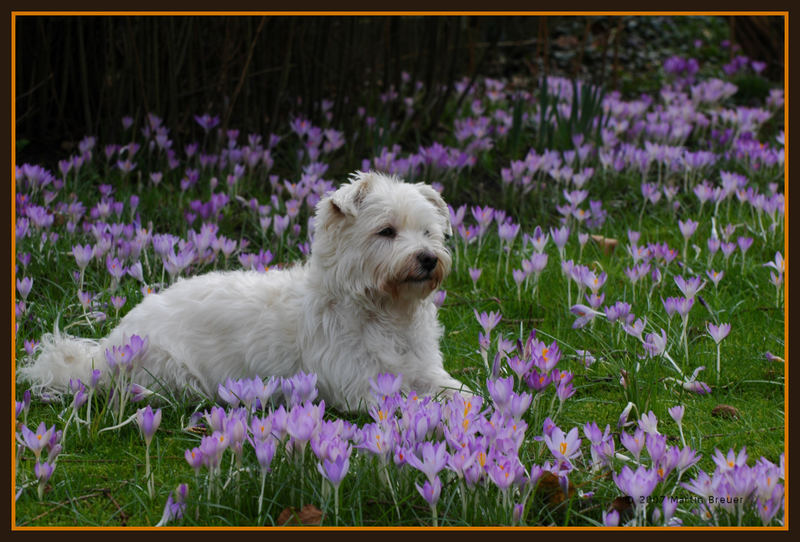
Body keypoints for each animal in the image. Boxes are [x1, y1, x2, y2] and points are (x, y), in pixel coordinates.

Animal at [18, 173, 468, 412]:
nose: (428, 258)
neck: (384, 309)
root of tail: (106, 346)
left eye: (429, 233)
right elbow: (413, 403)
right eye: (386, 232)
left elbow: (457, 392)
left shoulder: (424, 369)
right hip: (173, 369)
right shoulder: (362, 386)